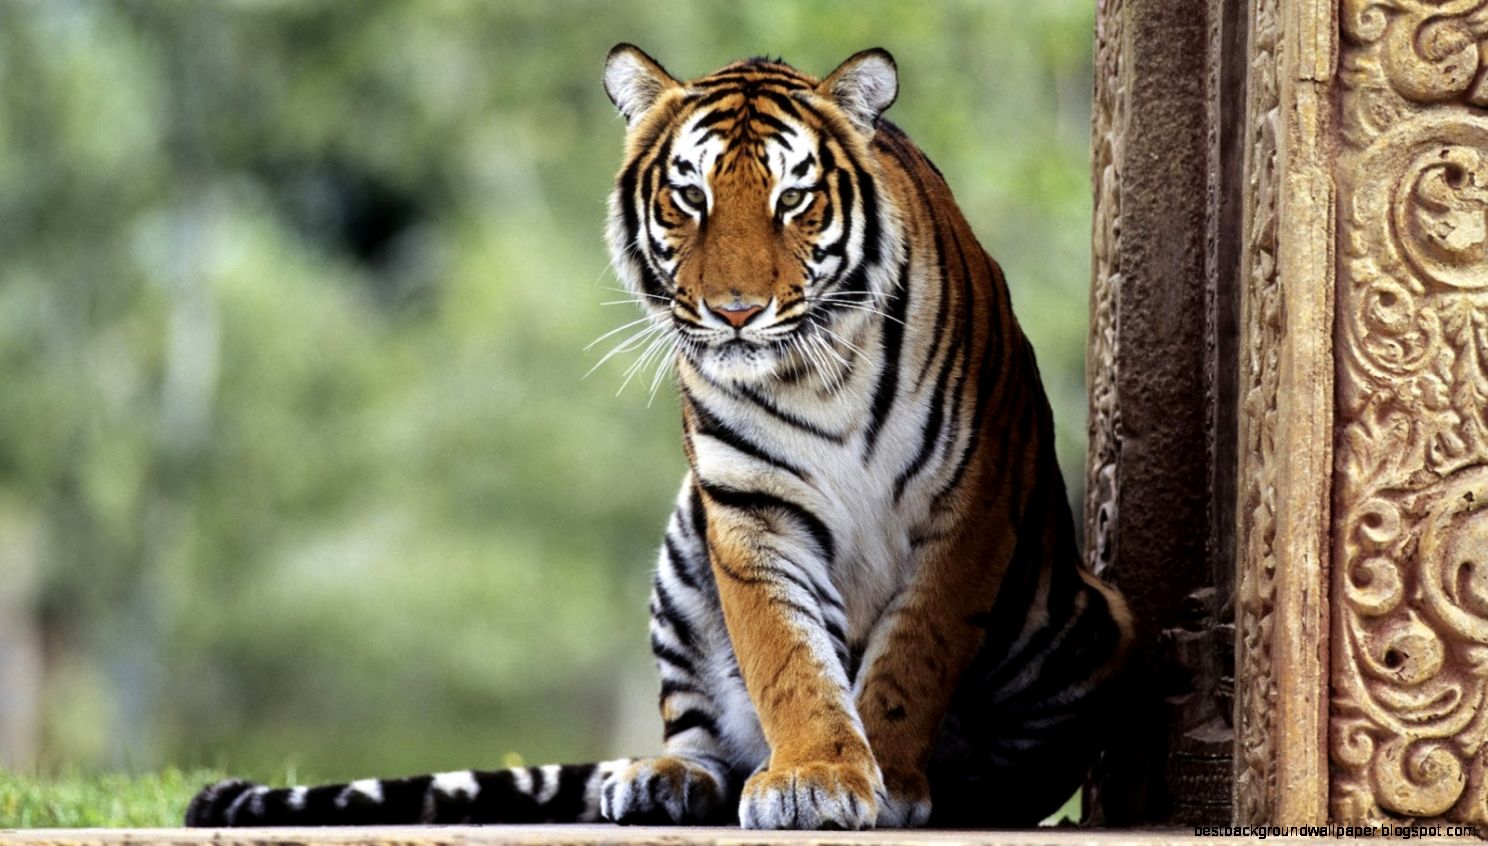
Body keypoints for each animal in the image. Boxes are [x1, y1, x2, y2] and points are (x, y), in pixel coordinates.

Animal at [185, 44, 1134, 831]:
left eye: (794, 198)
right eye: (689, 196)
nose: (736, 311)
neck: (817, 373)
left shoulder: (968, 508)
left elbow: (912, 658)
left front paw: (886, 778)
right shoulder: (749, 511)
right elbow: (788, 657)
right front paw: (817, 775)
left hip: (1091, 622)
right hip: (684, 549)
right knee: (703, 735)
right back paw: (661, 781)